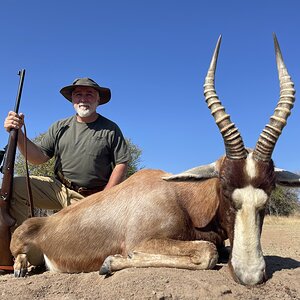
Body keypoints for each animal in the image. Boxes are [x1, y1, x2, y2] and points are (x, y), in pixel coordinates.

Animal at [10, 34, 298, 284]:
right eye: (225, 189)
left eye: (269, 192)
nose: (250, 274)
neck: (180, 196)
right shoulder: (142, 240)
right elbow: (207, 251)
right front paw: (110, 262)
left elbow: (217, 249)